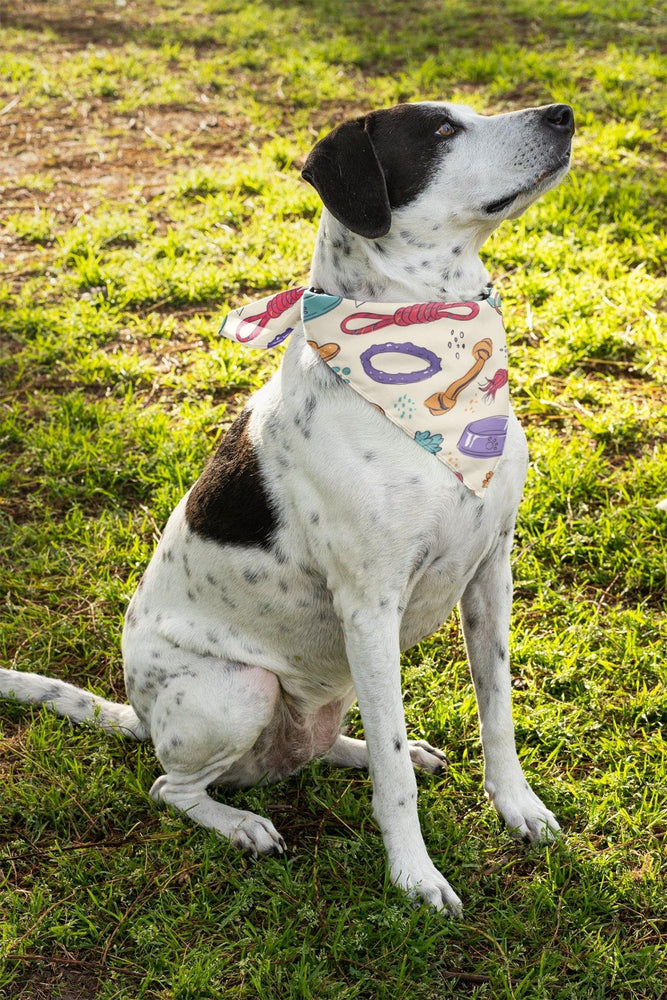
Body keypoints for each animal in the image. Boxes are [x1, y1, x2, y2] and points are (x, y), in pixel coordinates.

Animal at [0, 101, 576, 916]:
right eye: (439, 132)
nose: (561, 114)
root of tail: (139, 717)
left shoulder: (490, 572)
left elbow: (496, 715)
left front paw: (517, 807)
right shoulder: (369, 606)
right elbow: (394, 784)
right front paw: (414, 876)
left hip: (326, 686)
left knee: (323, 743)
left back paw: (364, 750)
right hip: (238, 691)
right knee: (172, 787)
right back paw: (240, 824)